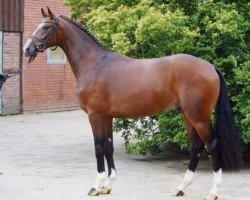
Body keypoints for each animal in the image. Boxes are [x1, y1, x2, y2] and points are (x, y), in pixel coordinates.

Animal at [23, 7, 242, 199]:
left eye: (46, 27)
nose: (27, 49)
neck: (94, 63)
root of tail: (210, 67)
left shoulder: (95, 116)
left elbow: (98, 147)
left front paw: (96, 186)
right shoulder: (107, 117)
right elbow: (108, 147)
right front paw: (108, 185)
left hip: (199, 117)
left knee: (212, 145)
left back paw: (213, 192)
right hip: (188, 115)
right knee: (196, 146)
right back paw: (181, 188)